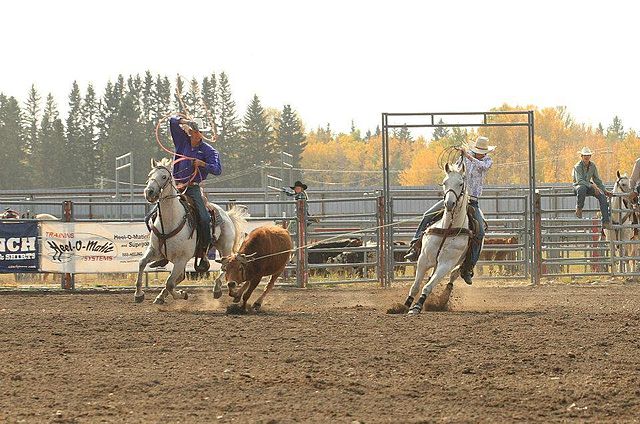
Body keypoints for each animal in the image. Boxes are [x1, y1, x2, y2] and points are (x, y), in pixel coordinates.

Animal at [134, 158, 247, 304]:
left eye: (164, 177)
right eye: (150, 175)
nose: (149, 192)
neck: (171, 220)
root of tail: (227, 214)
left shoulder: (181, 259)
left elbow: (170, 283)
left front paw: (182, 294)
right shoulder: (155, 251)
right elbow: (142, 263)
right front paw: (138, 294)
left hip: (225, 247)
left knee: (224, 266)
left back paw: (216, 289)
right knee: (181, 277)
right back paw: (161, 296)